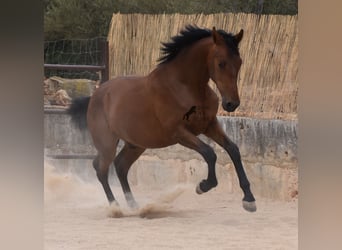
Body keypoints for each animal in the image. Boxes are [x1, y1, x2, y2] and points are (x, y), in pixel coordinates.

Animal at [68, 25, 256, 212]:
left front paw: (249, 199)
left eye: (239, 62)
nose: (231, 104)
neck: (185, 87)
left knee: (120, 166)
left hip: (136, 144)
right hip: (108, 144)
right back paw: (115, 207)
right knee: (101, 168)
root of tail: (95, 95)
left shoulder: (209, 125)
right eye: (221, 63)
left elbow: (233, 150)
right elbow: (209, 153)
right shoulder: (179, 133)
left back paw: (134, 206)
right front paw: (203, 186)